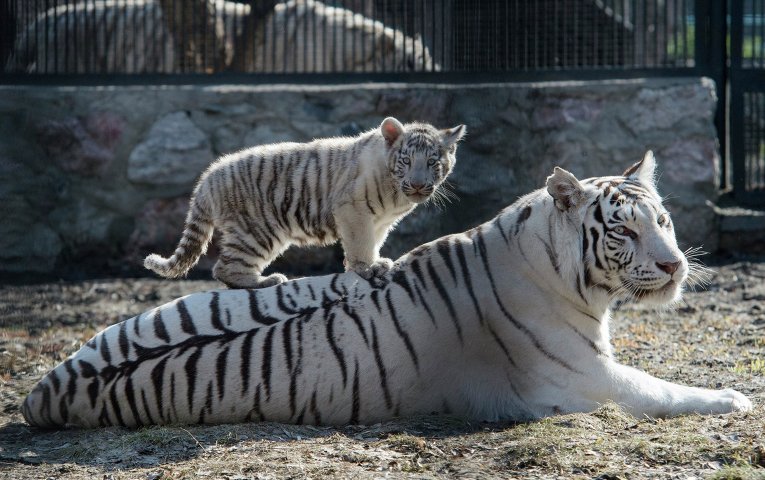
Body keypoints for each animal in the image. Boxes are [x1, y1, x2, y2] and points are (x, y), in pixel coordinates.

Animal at [20, 151, 748, 428]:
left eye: (661, 220)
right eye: (622, 231)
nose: (676, 267)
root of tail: (40, 390)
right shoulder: (585, 381)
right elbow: (665, 391)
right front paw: (735, 398)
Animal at [143, 117, 466, 288]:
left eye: (433, 162)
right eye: (407, 161)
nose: (418, 184)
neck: (395, 190)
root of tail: (207, 177)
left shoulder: (380, 221)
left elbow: (373, 242)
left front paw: (375, 262)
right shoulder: (352, 209)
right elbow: (359, 243)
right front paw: (364, 268)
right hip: (256, 232)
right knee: (224, 269)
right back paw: (266, 281)